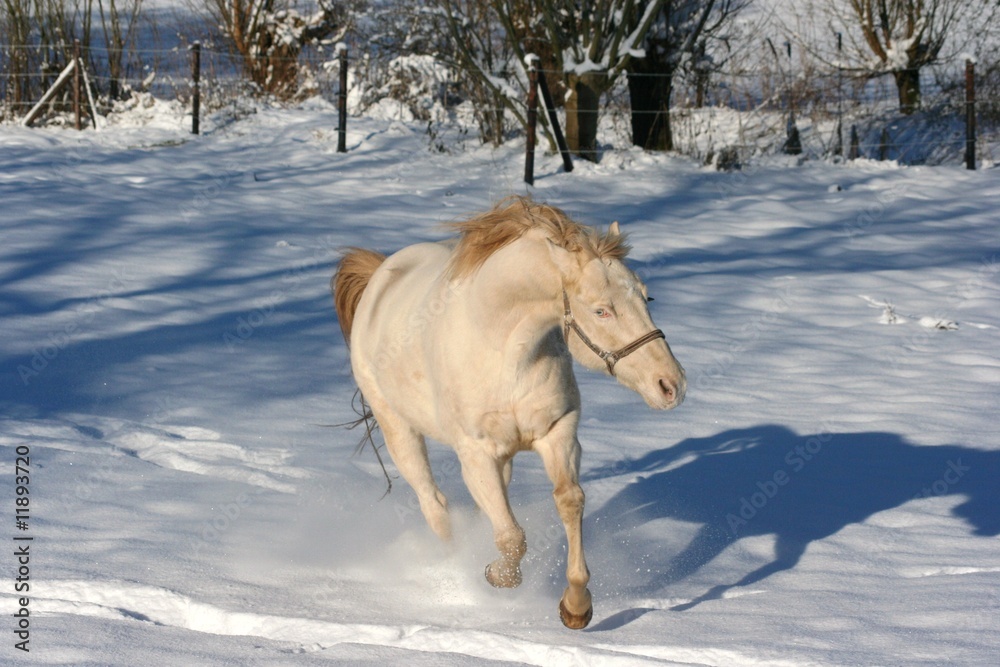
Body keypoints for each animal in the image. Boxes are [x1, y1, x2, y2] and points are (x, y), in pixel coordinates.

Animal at [332, 196, 684, 628]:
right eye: (601, 310)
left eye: (646, 298)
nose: (671, 384)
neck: (505, 349)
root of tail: (381, 275)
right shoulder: (476, 454)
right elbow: (512, 537)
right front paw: (498, 576)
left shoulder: (557, 433)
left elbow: (568, 501)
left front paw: (576, 605)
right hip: (398, 430)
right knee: (435, 506)